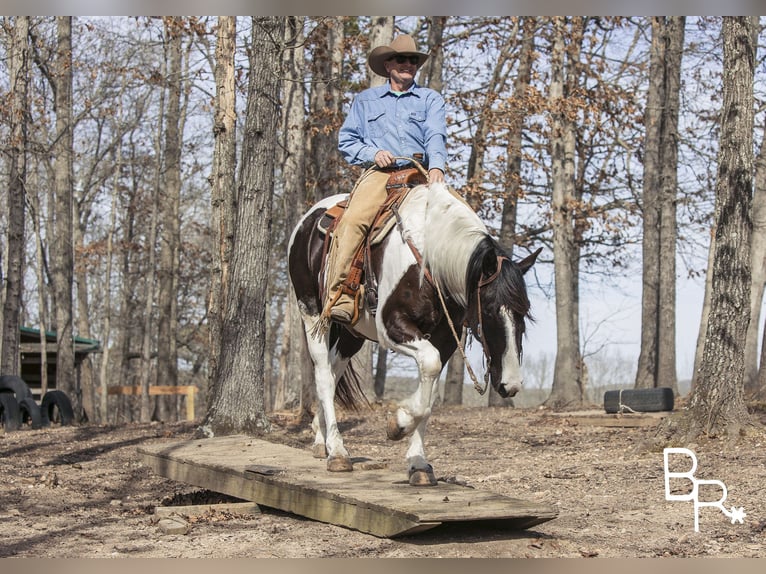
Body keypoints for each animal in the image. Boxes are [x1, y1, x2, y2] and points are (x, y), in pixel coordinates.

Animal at [288, 182, 540, 488]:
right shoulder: (391, 327)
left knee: (335, 370)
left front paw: (418, 463)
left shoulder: (445, 338)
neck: (430, 260)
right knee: (324, 374)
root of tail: (308, 217)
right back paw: (337, 452)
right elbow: (428, 366)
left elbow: (429, 394)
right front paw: (398, 424)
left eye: (525, 312)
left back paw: (320, 436)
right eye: (490, 310)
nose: (511, 385)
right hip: (312, 312)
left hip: (352, 333)